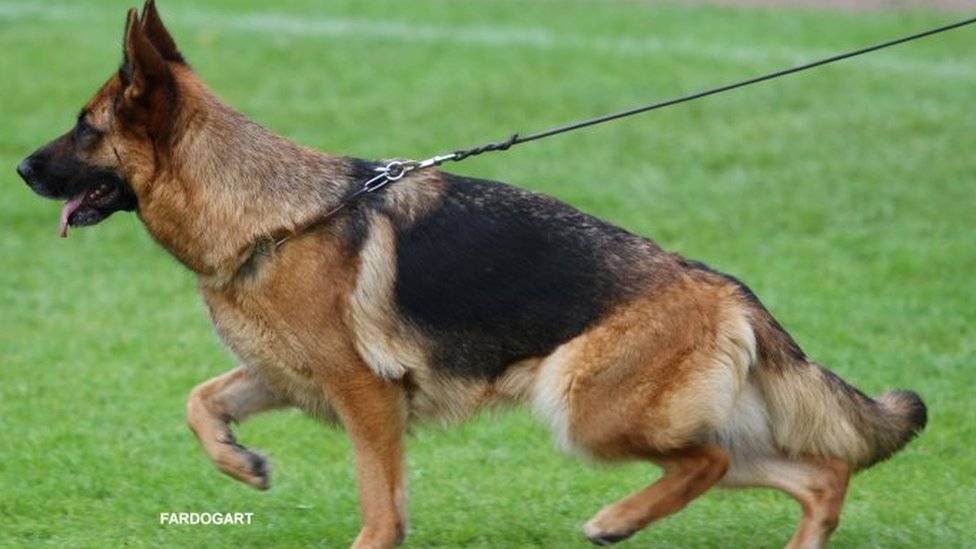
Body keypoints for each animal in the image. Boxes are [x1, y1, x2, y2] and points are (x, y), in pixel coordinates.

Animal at [19, 2, 928, 544]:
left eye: (85, 127)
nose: (21, 168)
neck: (273, 212)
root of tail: (725, 287)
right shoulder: (285, 376)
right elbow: (200, 400)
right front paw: (240, 462)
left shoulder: (366, 396)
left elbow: (380, 504)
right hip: (670, 419)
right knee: (817, 472)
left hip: (583, 407)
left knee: (706, 463)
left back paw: (615, 519)